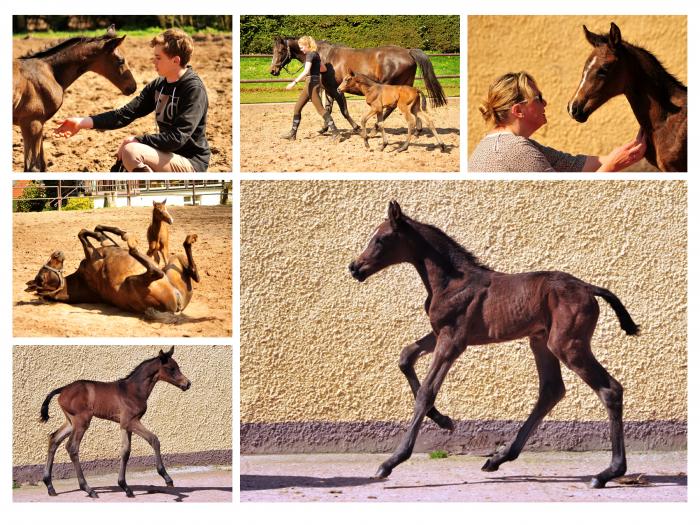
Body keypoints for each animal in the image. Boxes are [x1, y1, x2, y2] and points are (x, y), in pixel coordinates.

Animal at [42, 346, 190, 498]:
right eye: (171, 368)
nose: (187, 384)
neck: (133, 390)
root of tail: (62, 389)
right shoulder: (131, 421)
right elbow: (154, 439)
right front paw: (167, 478)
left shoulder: (125, 425)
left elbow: (126, 451)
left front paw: (125, 486)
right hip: (81, 421)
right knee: (72, 447)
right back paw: (88, 489)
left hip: (71, 422)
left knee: (54, 439)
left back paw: (50, 486)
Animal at [348, 201, 636, 488]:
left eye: (381, 239)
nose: (354, 267)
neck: (452, 282)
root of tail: (588, 287)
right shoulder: (440, 333)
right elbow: (406, 356)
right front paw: (443, 421)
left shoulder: (453, 340)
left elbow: (426, 392)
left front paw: (391, 461)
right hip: (541, 341)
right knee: (551, 390)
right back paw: (499, 458)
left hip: (567, 344)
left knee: (609, 390)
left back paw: (608, 472)